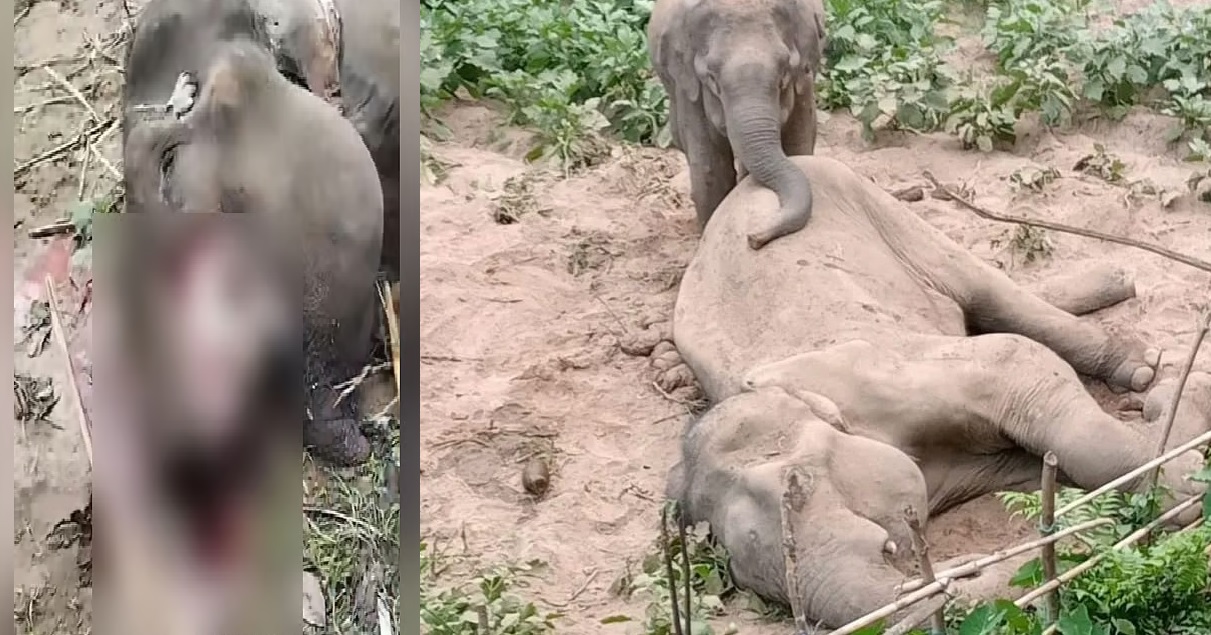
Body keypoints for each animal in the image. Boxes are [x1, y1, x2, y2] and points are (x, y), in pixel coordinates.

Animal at [647, 0, 826, 250]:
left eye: (784, 71)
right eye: (712, 77)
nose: (753, 237)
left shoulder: (803, 80)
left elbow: (797, 144)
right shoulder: (689, 88)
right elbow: (711, 166)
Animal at [657, 155, 1211, 629]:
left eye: (799, 485)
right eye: (751, 580)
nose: (965, 565)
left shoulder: (885, 368)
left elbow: (1016, 361)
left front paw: (1181, 475)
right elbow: (1037, 467)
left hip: (875, 204)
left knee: (987, 292)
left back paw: (1141, 366)